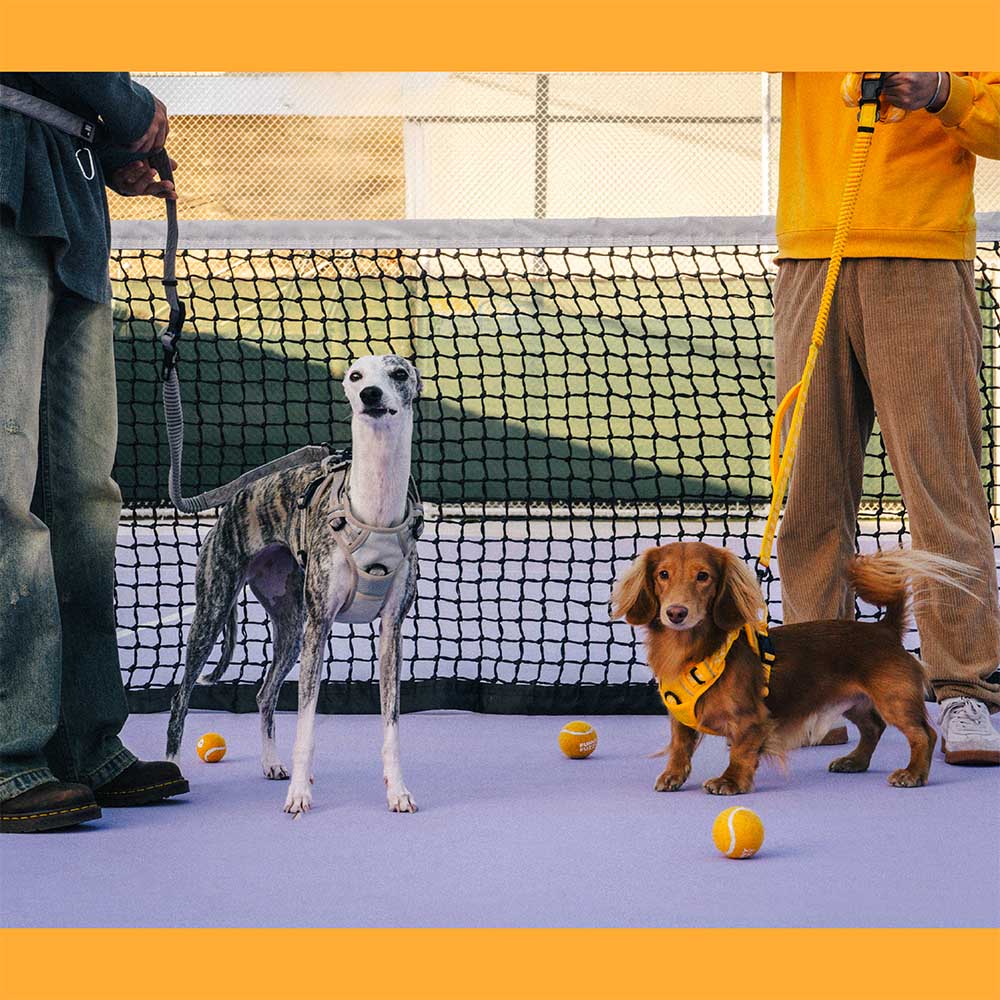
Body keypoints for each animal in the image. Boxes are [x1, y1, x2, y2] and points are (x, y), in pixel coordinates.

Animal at [167, 356, 422, 816]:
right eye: (355, 375)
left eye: (398, 373)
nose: (370, 395)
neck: (373, 507)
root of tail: (237, 498)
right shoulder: (320, 626)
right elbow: (306, 723)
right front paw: (300, 795)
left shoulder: (391, 629)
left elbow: (391, 722)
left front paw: (397, 791)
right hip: (214, 612)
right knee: (181, 698)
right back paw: (172, 768)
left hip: (289, 626)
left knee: (265, 693)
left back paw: (271, 763)